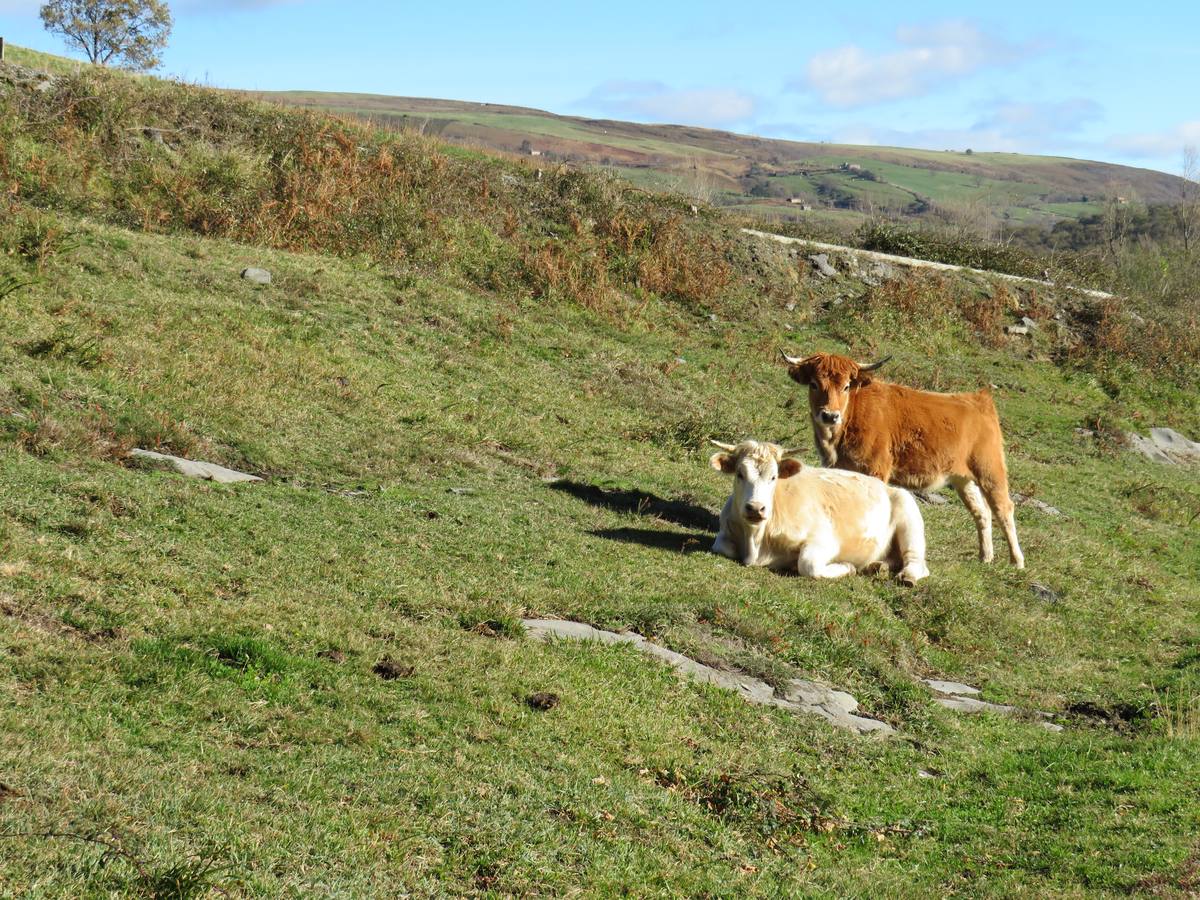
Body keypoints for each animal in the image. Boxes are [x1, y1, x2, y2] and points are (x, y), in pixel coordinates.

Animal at [710, 441, 926, 588]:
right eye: (740, 474)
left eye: (774, 477)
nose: (756, 508)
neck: (756, 541)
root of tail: (886, 486)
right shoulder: (725, 531)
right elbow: (721, 547)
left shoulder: (826, 540)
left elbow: (808, 565)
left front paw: (847, 567)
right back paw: (877, 566)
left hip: (909, 515)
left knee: (917, 562)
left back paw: (907, 577)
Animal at [782, 348, 1027, 566]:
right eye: (814, 384)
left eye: (846, 386)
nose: (830, 415)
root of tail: (978, 399)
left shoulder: (875, 469)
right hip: (963, 479)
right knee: (982, 512)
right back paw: (985, 557)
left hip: (990, 470)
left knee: (1003, 508)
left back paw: (1016, 561)